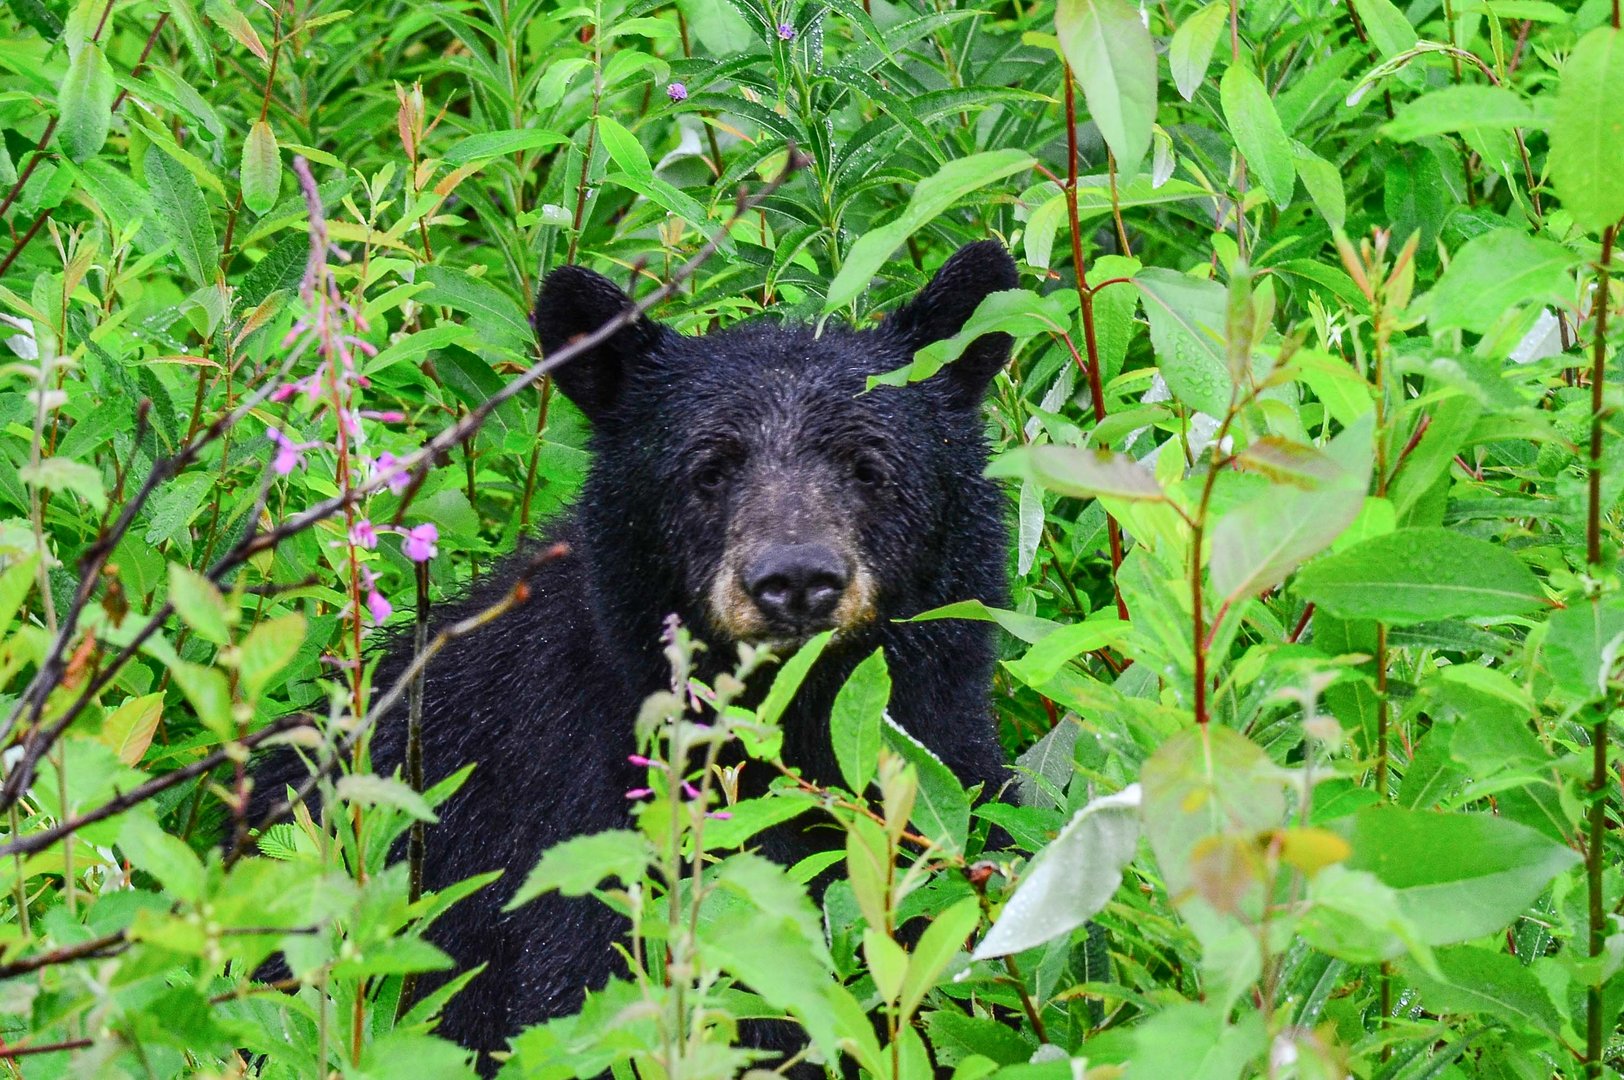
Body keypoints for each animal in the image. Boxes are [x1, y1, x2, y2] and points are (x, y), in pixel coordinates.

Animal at [251, 233, 1013, 1058]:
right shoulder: (585, 832)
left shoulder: (950, 784)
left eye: (869, 465)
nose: (796, 578)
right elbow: (586, 999)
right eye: (708, 468)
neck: (796, 719)